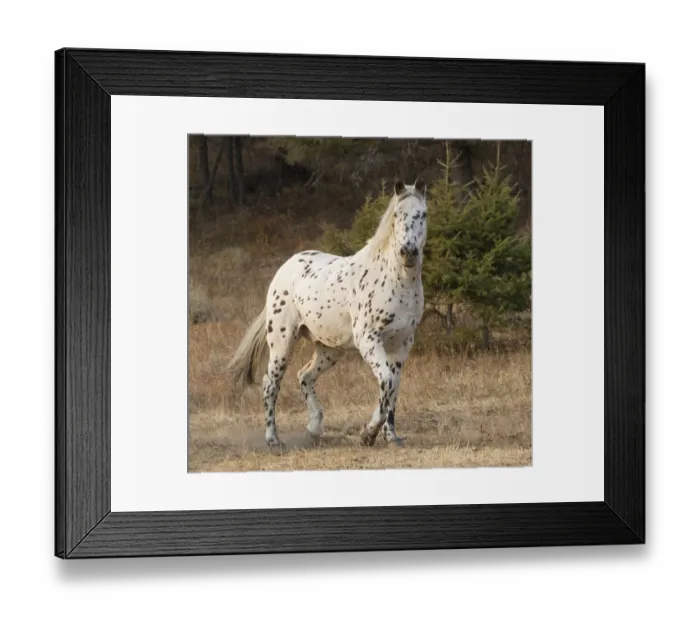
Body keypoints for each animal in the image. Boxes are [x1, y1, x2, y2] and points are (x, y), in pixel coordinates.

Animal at [228, 177, 428, 450]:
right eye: (397, 214)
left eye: (423, 214)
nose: (408, 252)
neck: (396, 281)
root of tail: (285, 268)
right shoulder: (369, 339)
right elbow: (387, 382)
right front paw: (368, 434)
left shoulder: (402, 344)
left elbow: (392, 389)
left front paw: (391, 436)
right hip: (282, 342)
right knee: (270, 383)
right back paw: (273, 439)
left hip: (329, 350)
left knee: (305, 375)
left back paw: (313, 428)